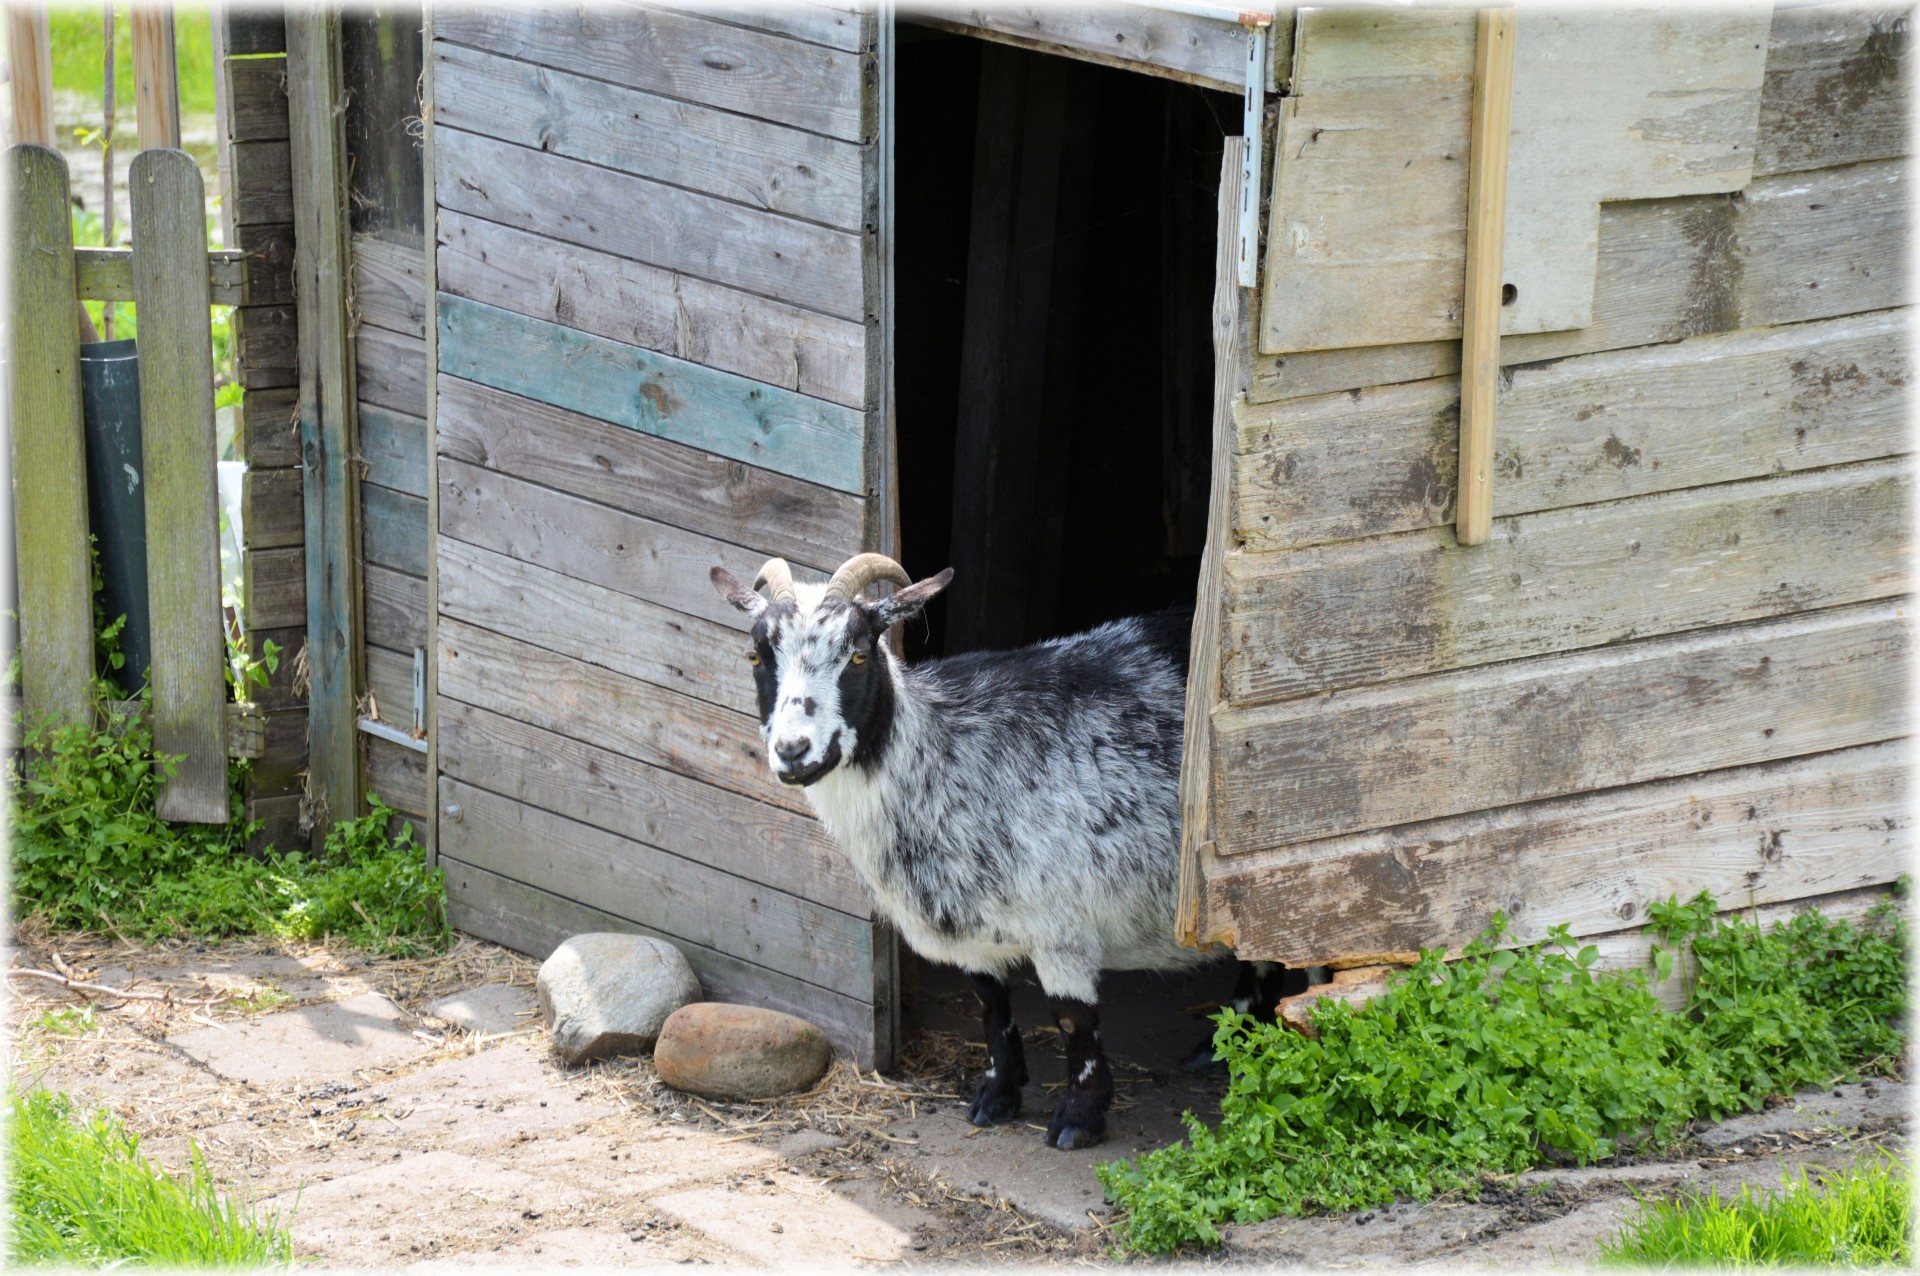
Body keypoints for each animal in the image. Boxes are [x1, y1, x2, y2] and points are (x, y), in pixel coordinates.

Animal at [714, 552, 1297, 1151]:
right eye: (757, 655)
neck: (942, 757)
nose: (793, 751)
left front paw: (1079, 1118)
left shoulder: (1062, 925)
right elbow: (990, 1006)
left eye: (856, 655)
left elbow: (1072, 1019)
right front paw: (997, 1095)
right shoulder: (971, 925)